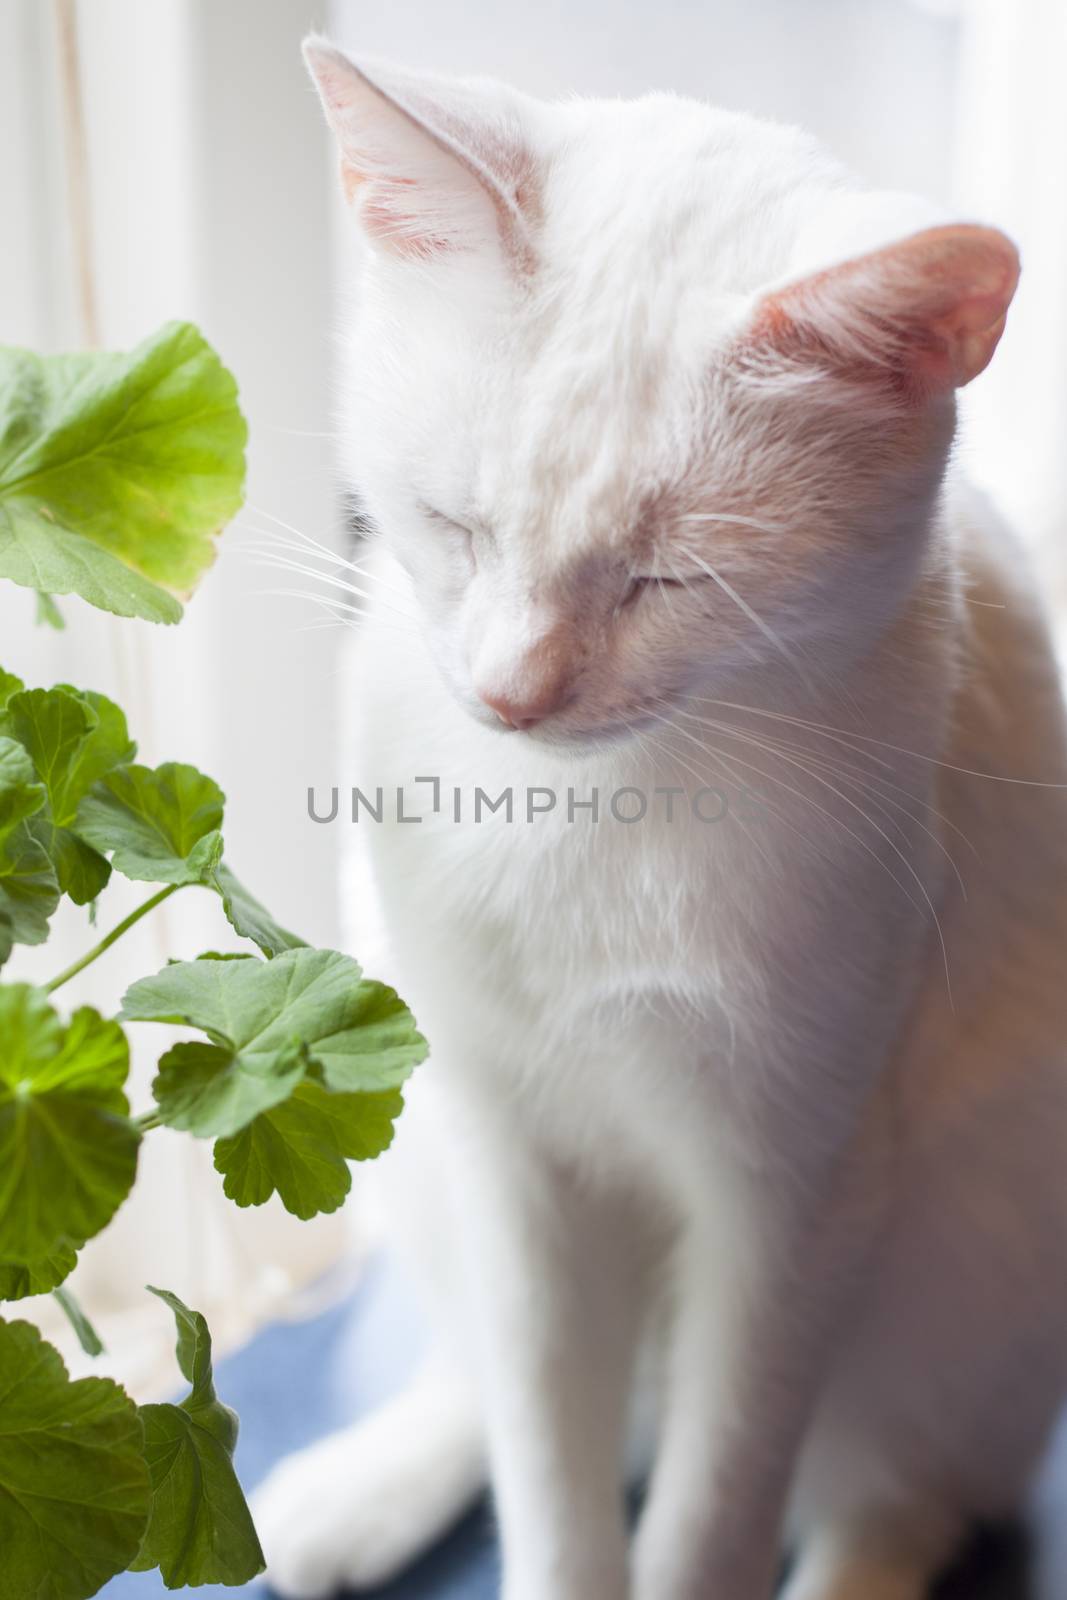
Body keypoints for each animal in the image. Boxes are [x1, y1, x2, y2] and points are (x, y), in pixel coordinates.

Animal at [252, 37, 1067, 1600]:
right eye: (454, 528)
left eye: (667, 582)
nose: (508, 695)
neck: (582, 817)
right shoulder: (517, 1161)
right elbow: (551, 1478)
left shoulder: (791, 1203)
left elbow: (708, 1508)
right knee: (496, 1391)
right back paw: (350, 1499)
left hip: (969, 1282)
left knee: (891, 1498)